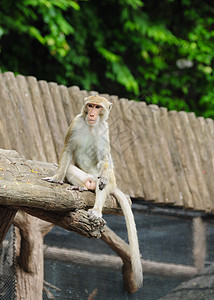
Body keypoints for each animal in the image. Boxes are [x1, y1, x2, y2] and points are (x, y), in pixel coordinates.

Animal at [43, 94, 143, 288]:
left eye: (98, 107)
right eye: (90, 105)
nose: (91, 114)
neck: (90, 126)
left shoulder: (105, 131)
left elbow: (104, 159)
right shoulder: (76, 123)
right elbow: (67, 149)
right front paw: (57, 177)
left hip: (110, 181)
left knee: (104, 178)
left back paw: (96, 206)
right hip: (84, 174)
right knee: (72, 169)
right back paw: (85, 185)